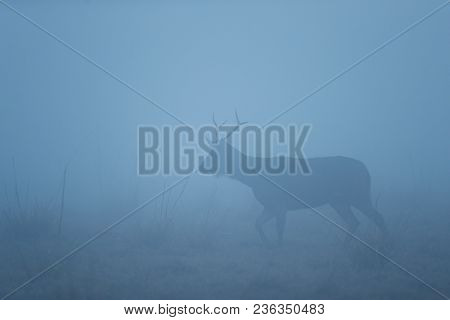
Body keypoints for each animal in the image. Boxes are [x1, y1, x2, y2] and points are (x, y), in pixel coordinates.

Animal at [202, 112, 388, 248]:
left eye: (216, 153)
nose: (202, 166)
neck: (254, 179)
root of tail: (366, 170)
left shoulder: (279, 202)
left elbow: (279, 229)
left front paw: (278, 247)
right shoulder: (269, 206)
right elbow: (257, 224)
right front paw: (268, 244)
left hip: (359, 193)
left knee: (378, 217)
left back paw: (382, 245)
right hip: (339, 200)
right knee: (354, 222)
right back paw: (344, 246)